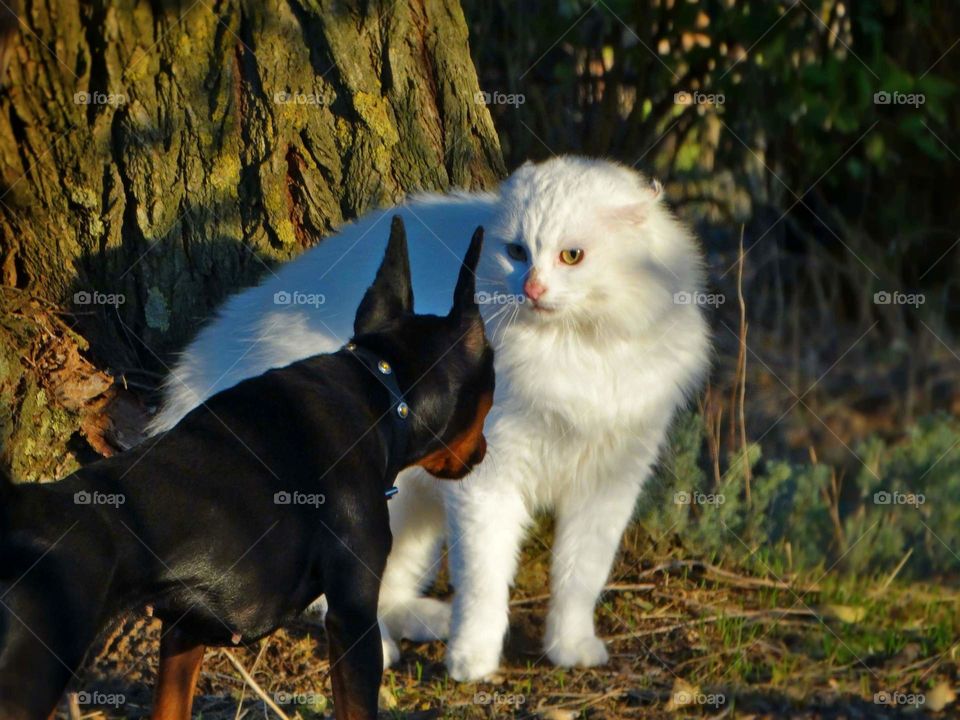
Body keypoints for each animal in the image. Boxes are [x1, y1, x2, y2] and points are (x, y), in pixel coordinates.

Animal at [148, 156, 704, 680]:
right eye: (517, 252)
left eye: (572, 256)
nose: (531, 288)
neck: (575, 346)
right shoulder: (489, 480)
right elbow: (484, 579)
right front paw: (473, 660)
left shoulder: (609, 481)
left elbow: (580, 575)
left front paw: (570, 648)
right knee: (340, 602)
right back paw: (388, 648)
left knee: (390, 588)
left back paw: (422, 620)